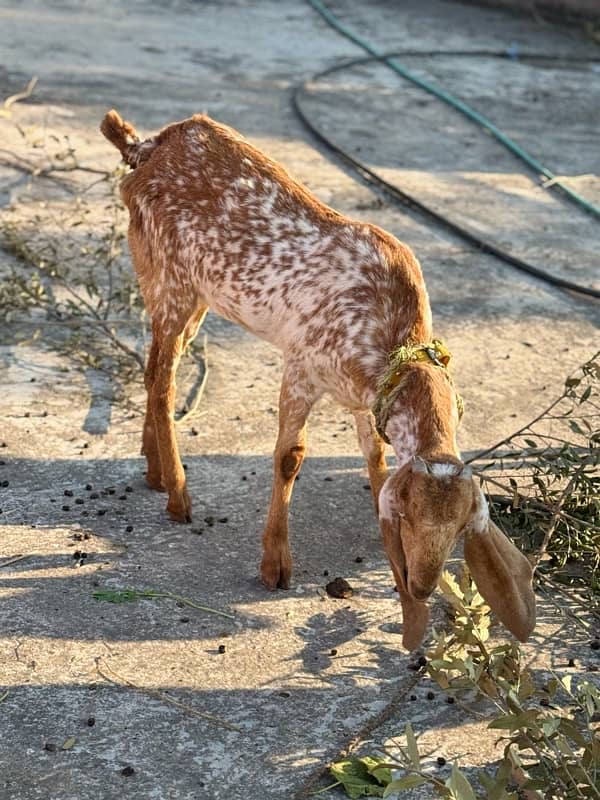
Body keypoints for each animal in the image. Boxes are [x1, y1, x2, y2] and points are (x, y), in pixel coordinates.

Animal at [101, 111, 536, 648]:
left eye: (458, 528)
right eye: (411, 516)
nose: (421, 584)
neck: (392, 335)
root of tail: (143, 147)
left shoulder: (366, 397)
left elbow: (375, 456)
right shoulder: (302, 366)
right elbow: (290, 456)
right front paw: (275, 564)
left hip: (191, 292)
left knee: (156, 365)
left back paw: (154, 469)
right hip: (169, 279)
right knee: (163, 382)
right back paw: (179, 496)